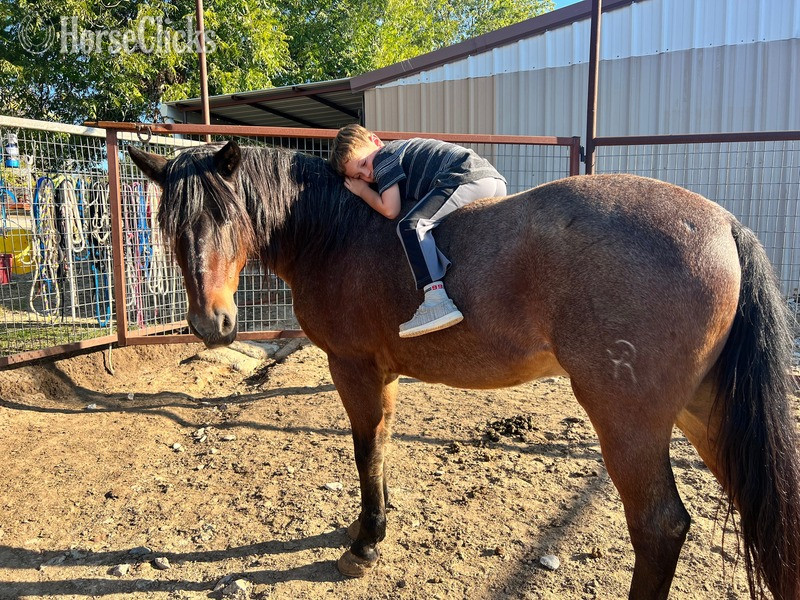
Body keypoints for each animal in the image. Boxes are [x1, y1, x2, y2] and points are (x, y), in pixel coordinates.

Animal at [129, 140, 800, 599]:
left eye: (225, 216)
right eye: (170, 226)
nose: (211, 324)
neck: (337, 232)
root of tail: (725, 226)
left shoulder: (353, 368)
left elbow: (365, 450)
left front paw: (365, 543)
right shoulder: (384, 372)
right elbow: (381, 446)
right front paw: (376, 522)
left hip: (628, 423)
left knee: (660, 526)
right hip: (706, 414)